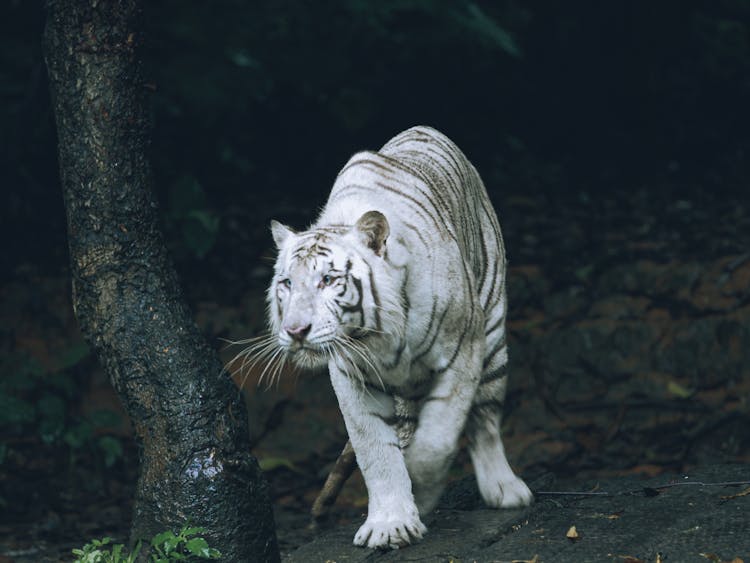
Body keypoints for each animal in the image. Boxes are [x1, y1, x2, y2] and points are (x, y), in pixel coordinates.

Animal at [264, 125, 536, 548]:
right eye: (287, 283)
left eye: (328, 280)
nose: (295, 331)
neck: (375, 336)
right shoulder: (351, 377)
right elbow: (374, 451)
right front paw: (390, 523)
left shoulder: (462, 352)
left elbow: (437, 439)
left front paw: (421, 492)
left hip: (492, 335)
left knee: (485, 420)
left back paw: (504, 490)